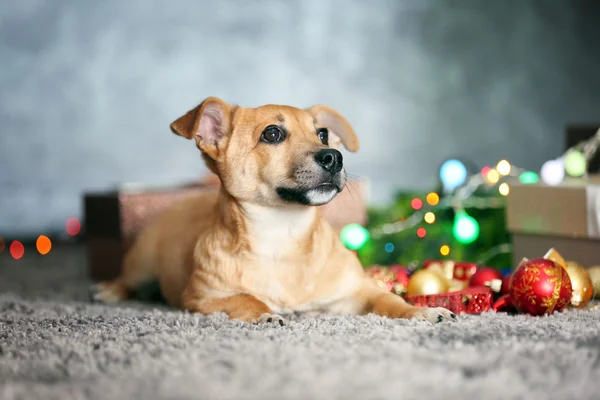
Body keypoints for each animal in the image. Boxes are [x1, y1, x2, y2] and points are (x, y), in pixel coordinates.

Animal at [90, 97, 454, 324]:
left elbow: (389, 300)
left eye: (323, 134)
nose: (334, 157)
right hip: (142, 263)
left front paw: (421, 312)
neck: (283, 235)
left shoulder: (357, 291)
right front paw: (265, 313)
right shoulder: (202, 297)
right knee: (128, 280)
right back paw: (107, 290)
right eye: (272, 133)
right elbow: (246, 299)